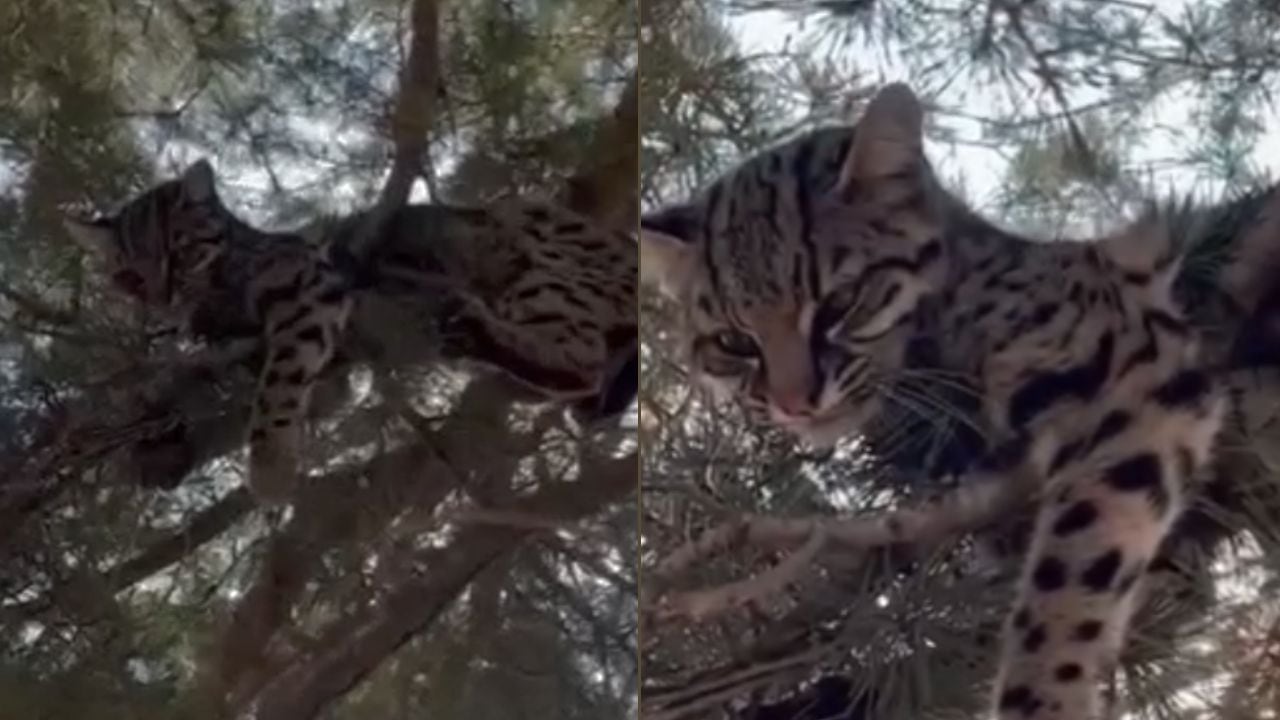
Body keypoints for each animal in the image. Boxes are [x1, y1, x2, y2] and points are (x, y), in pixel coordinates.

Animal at [64, 159, 634, 502]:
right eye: (130, 277)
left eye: (179, 253)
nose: (163, 302)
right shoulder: (323, 374)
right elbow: (229, 408)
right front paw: (163, 446)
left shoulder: (308, 293)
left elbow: (271, 394)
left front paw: (270, 468)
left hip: (527, 245)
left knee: (580, 358)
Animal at [645, 85, 1223, 717]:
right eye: (734, 342)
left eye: (841, 302)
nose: (794, 403)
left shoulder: (1134, 367)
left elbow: (1067, 574)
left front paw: (1042, 697)